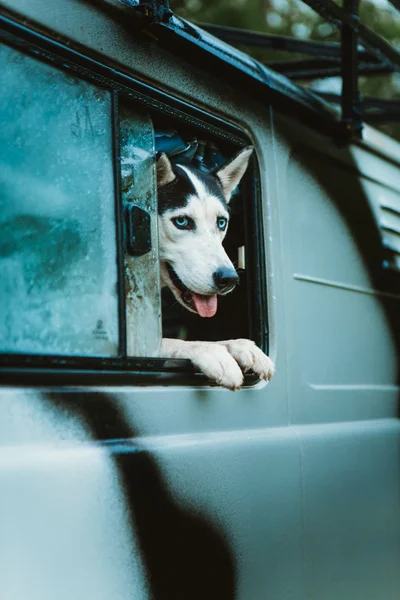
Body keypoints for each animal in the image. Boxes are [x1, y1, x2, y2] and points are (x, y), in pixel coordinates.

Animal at [156, 145, 276, 390]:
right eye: (182, 221)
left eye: (221, 222)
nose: (228, 278)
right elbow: (169, 342)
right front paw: (212, 352)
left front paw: (239, 345)